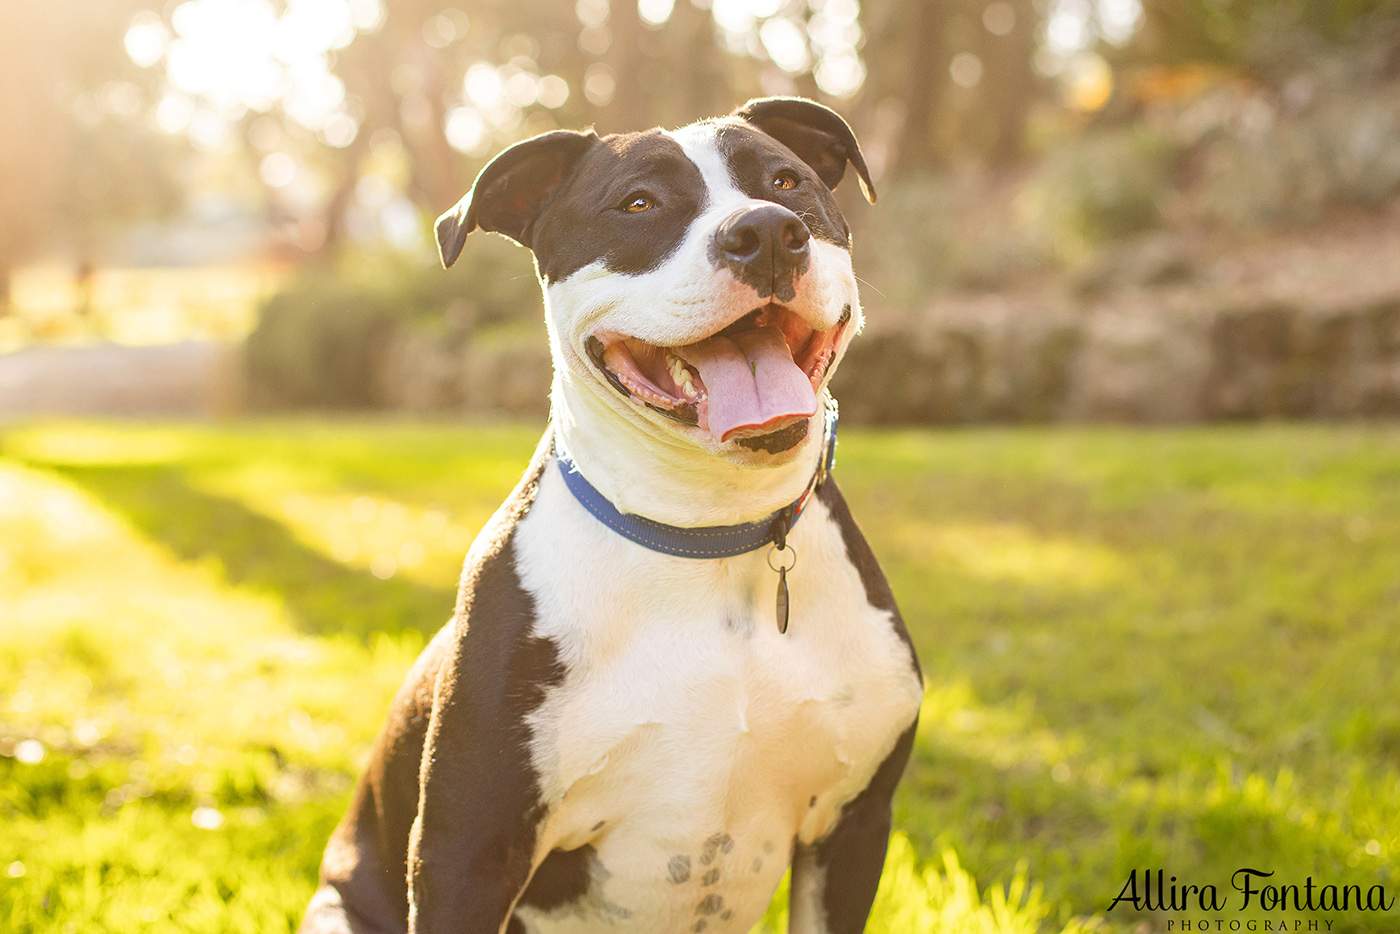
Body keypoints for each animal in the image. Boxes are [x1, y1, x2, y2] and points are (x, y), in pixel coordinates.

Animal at [301, 96, 924, 934]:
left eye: (787, 182)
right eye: (638, 204)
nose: (764, 231)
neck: (709, 537)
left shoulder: (852, 830)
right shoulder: (469, 851)